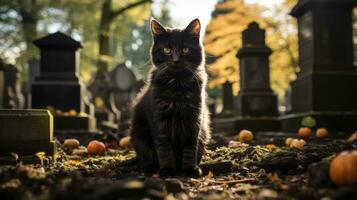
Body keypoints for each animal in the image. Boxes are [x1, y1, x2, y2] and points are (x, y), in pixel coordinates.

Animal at [129, 18, 210, 177]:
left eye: (185, 50)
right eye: (167, 50)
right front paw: (167, 170)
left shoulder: (194, 118)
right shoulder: (159, 119)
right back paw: (147, 168)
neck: (177, 85)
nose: (176, 60)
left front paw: (190, 169)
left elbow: (190, 147)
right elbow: (164, 148)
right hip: (139, 136)